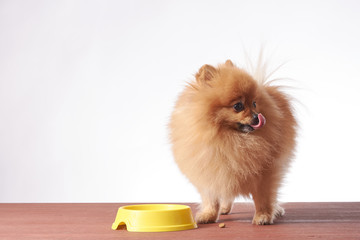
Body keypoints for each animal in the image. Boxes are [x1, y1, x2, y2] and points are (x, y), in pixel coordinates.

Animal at [169, 59, 296, 225]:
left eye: (254, 103)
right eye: (238, 106)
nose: (257, 117)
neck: (228, 139)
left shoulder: (266, 173)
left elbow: (263, 197)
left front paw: (263, 216)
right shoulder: (209, 169)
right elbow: (211, 198)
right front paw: (209, 214)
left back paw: (277, 209)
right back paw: (224, 208)